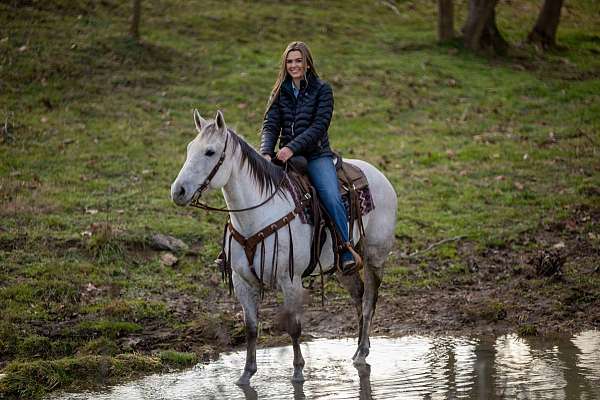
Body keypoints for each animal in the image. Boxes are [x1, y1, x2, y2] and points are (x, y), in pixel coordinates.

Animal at [171, 111, 396, 386]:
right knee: (358, 295)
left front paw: (298, 372)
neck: (257, 216)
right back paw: (358, 349)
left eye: (210, 152)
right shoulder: (241, 281)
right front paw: (246, 374)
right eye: (189, 148)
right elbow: (251, 327)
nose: (178, 191)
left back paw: (362, 352)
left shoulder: (290, 280)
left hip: (375, 255)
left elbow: (293, 326)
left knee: (369, 300)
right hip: (344, 264)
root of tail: (378, 175)